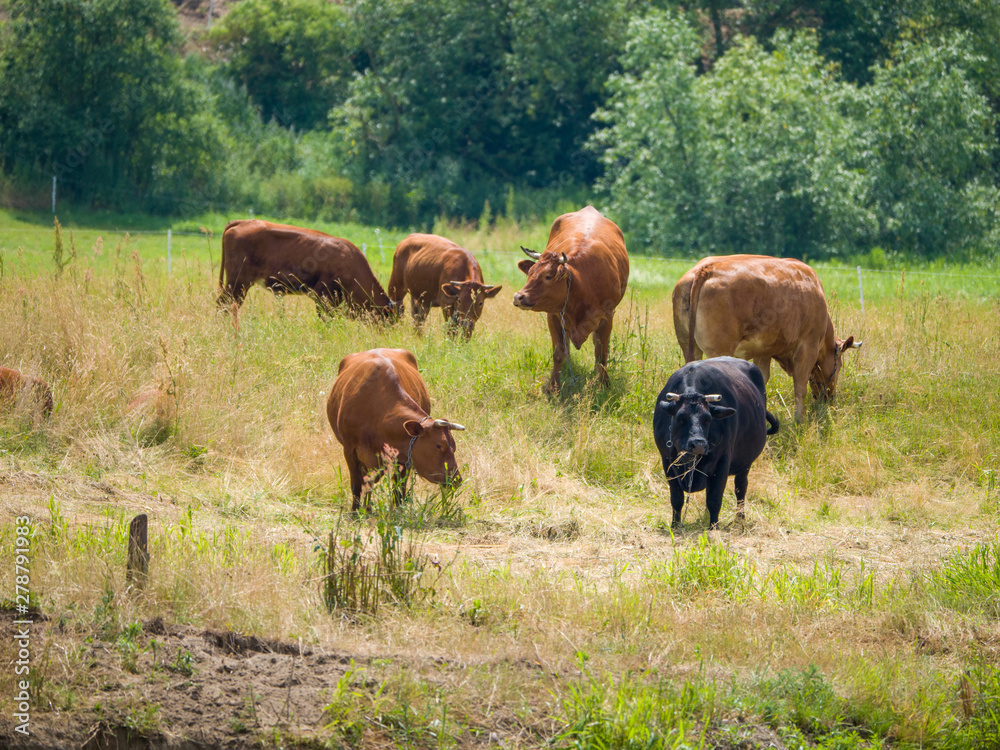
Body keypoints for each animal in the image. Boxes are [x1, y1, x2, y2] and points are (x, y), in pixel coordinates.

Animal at [330, 350, 466, 516]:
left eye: (454, 447)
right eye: (439, 445)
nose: (456, 479)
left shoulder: (405, 455)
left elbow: (398, 490)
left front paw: (397, 513)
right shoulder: (349, 450)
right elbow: (356, 484)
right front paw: (355, 512)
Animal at [516, 206, 624, 394]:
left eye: (548, 276)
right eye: (530, 273)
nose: (519, 297)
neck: (582, 284)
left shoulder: (607, 317)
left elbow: (601, 354)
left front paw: (604, 384)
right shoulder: (553, 316)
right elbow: (559, 352)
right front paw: (553, 386)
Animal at [656, 356, 780, 528]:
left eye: (708, 419)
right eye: (681, 418)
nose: (698, 444)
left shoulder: (723, 461)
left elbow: (715, 499)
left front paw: (713, 526)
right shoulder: (667, 461)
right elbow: (677, 499)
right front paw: (675, 524)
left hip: (745, 464)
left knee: (741, 488)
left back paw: (739, 518)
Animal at [676, 256, 864, 424]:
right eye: (839, 366)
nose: (830, 399)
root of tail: (707, 268)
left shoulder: (764, 351)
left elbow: (762, 381)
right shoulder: (807, 347)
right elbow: (800, 387)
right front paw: (799, 421)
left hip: (688, 346)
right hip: (720, 350)